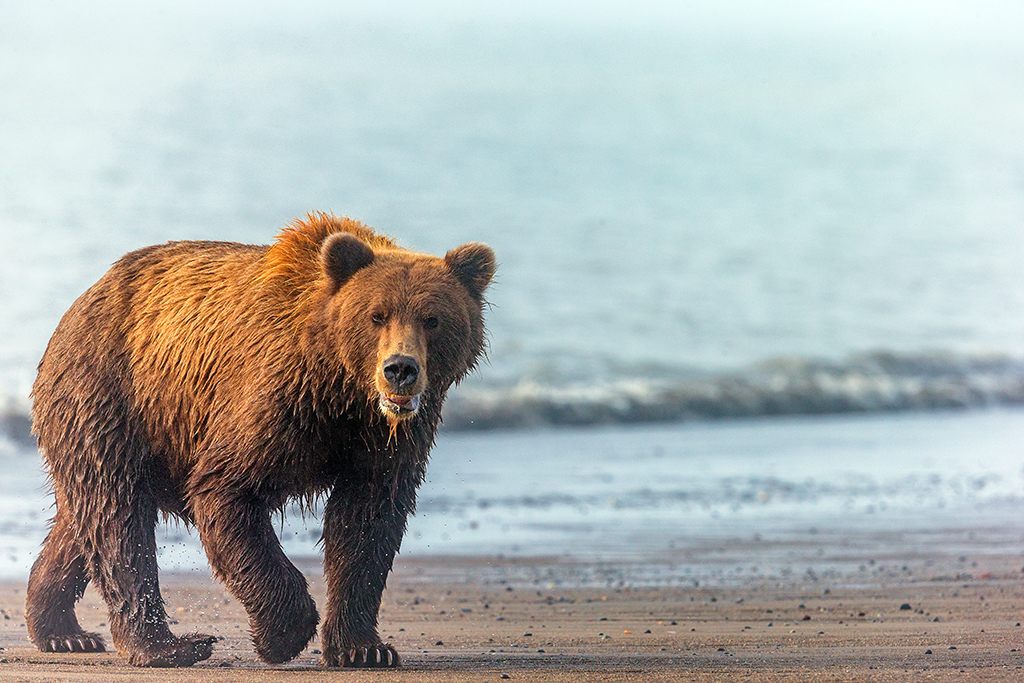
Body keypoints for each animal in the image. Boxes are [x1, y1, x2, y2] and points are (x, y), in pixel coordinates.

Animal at [26, 213, 495, 667]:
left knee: (81, 521)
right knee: (118, 517)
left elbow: (367, 523)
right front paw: (282, 634)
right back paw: (170, 646)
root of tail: (82, 301)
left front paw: (364, 648)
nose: (400, 368)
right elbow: (226, 489)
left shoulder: (384, 439)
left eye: (432, 319)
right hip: (112, 392)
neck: (341, 388)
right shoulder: (277, 401)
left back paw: (62, 630)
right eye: (376, 315)